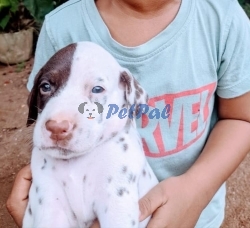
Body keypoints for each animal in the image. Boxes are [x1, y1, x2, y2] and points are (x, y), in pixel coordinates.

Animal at [23, 41, 160, 227]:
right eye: (45, 87)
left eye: (97, 89)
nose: (57, 127)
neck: (76, 162)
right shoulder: (49, 201)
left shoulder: (116, 200)